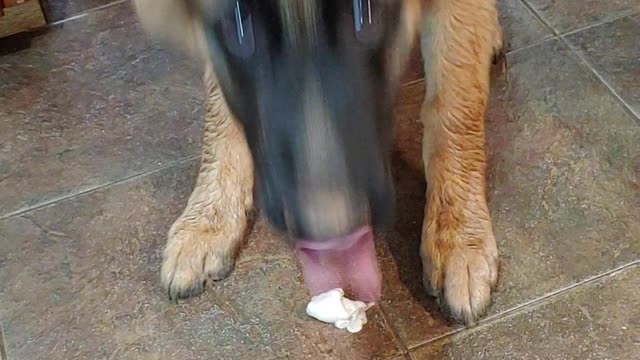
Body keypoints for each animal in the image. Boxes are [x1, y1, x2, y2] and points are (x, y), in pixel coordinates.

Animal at [135, 0, 502, 326]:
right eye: (239, 25)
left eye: (367, 12)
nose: (330, 235)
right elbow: (220, 107)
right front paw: (210, 216)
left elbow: (456, 103)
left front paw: (459, 236)